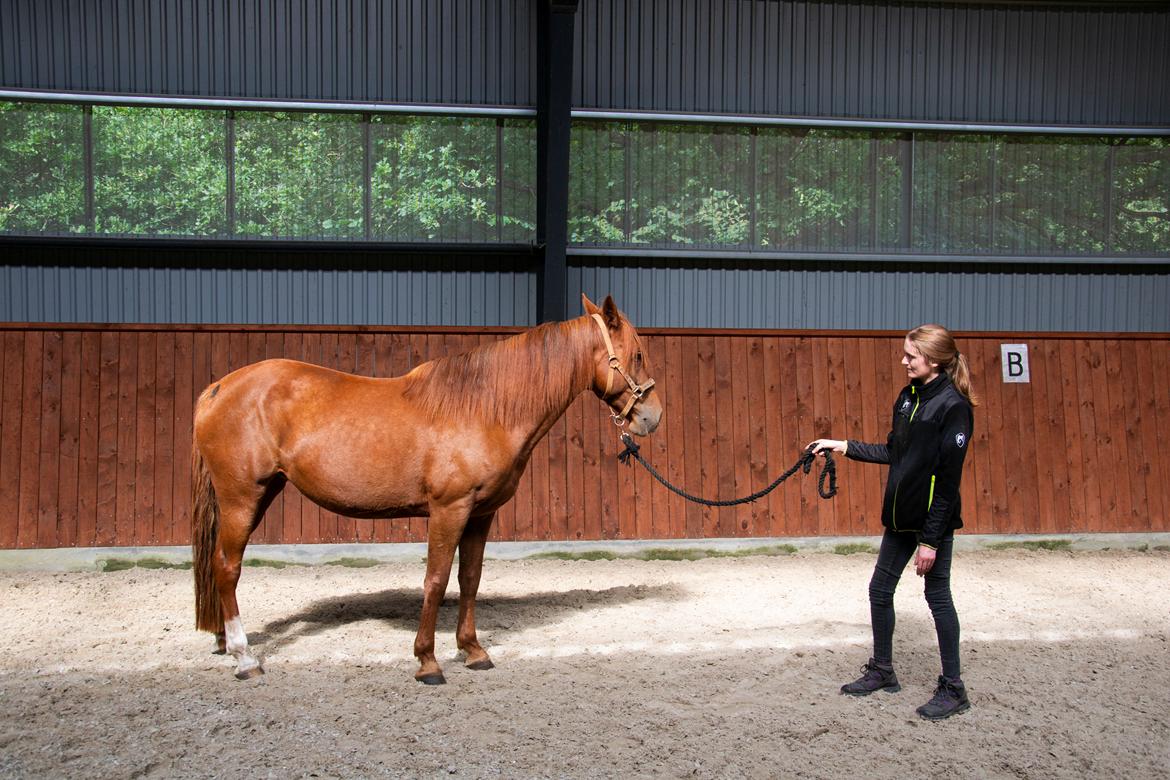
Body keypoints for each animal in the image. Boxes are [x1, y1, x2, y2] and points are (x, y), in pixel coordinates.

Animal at [196, 292, 664, 682]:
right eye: (638, 354)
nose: (652, 418)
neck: (483, 408)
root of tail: (217, 388)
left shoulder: (480, 513)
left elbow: (470, 579)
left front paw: (473, 651)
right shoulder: (448, 509)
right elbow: (436, 580)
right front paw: (428, 661)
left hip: (262, 492)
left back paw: (224, 642)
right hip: (242, 498)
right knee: (227, 567)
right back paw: (245, 658)